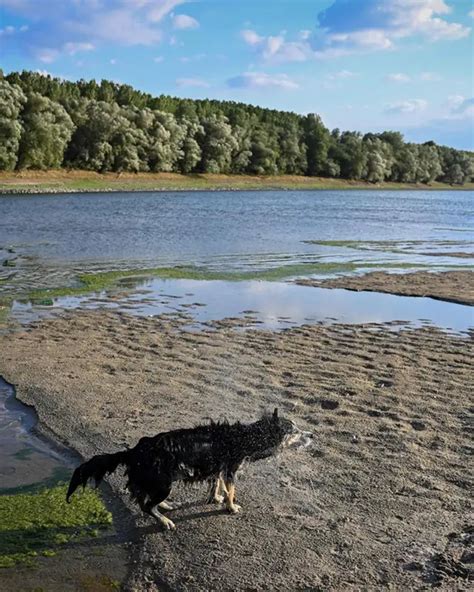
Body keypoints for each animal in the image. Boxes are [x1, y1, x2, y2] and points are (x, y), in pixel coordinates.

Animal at [65, 410, 312, 528]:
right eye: (295, 431)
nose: (312, 435)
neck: (244, 438)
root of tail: (134, 451)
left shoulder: (219, 469)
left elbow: (216, 484)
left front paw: (217, 498)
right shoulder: (230, 470)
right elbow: (231, 490)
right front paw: (231, 507)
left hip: (160, 483)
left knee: (149, 500)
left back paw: (166, 506)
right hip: (164, 483)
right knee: (146, 506)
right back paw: (164, 521)